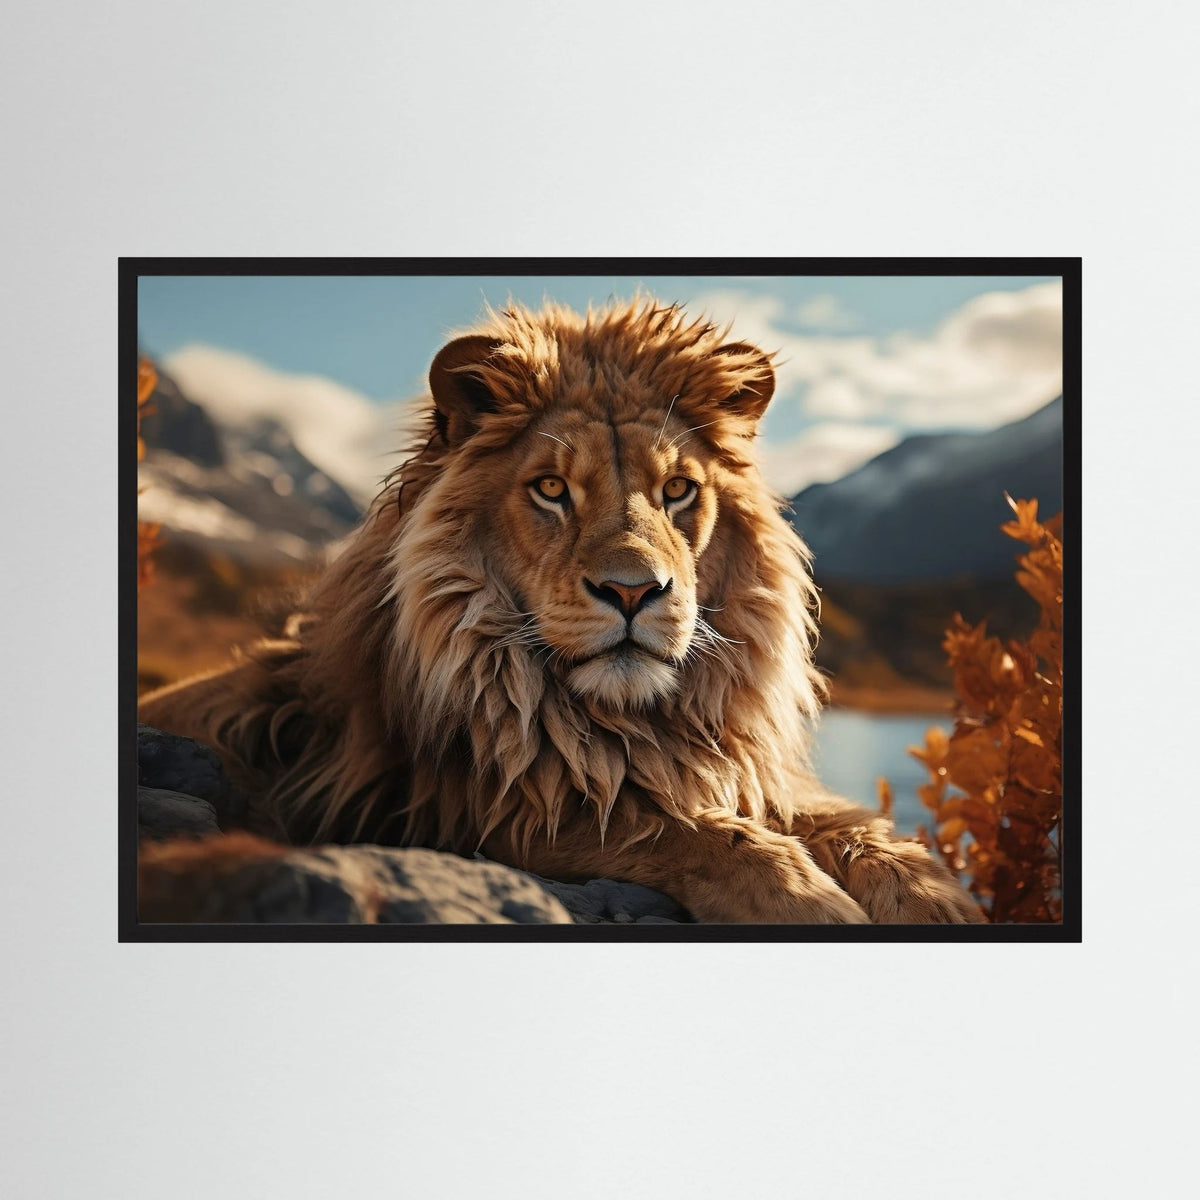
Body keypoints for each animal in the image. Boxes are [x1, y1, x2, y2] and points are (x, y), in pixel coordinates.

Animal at [139, 298, 982, 924]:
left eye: (678, 490)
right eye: (550, 489)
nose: (634, 592)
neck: (626, 721)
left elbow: (858, 832)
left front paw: (933, 899)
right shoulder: (468, 809)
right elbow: (678, 829)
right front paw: (810, 902)